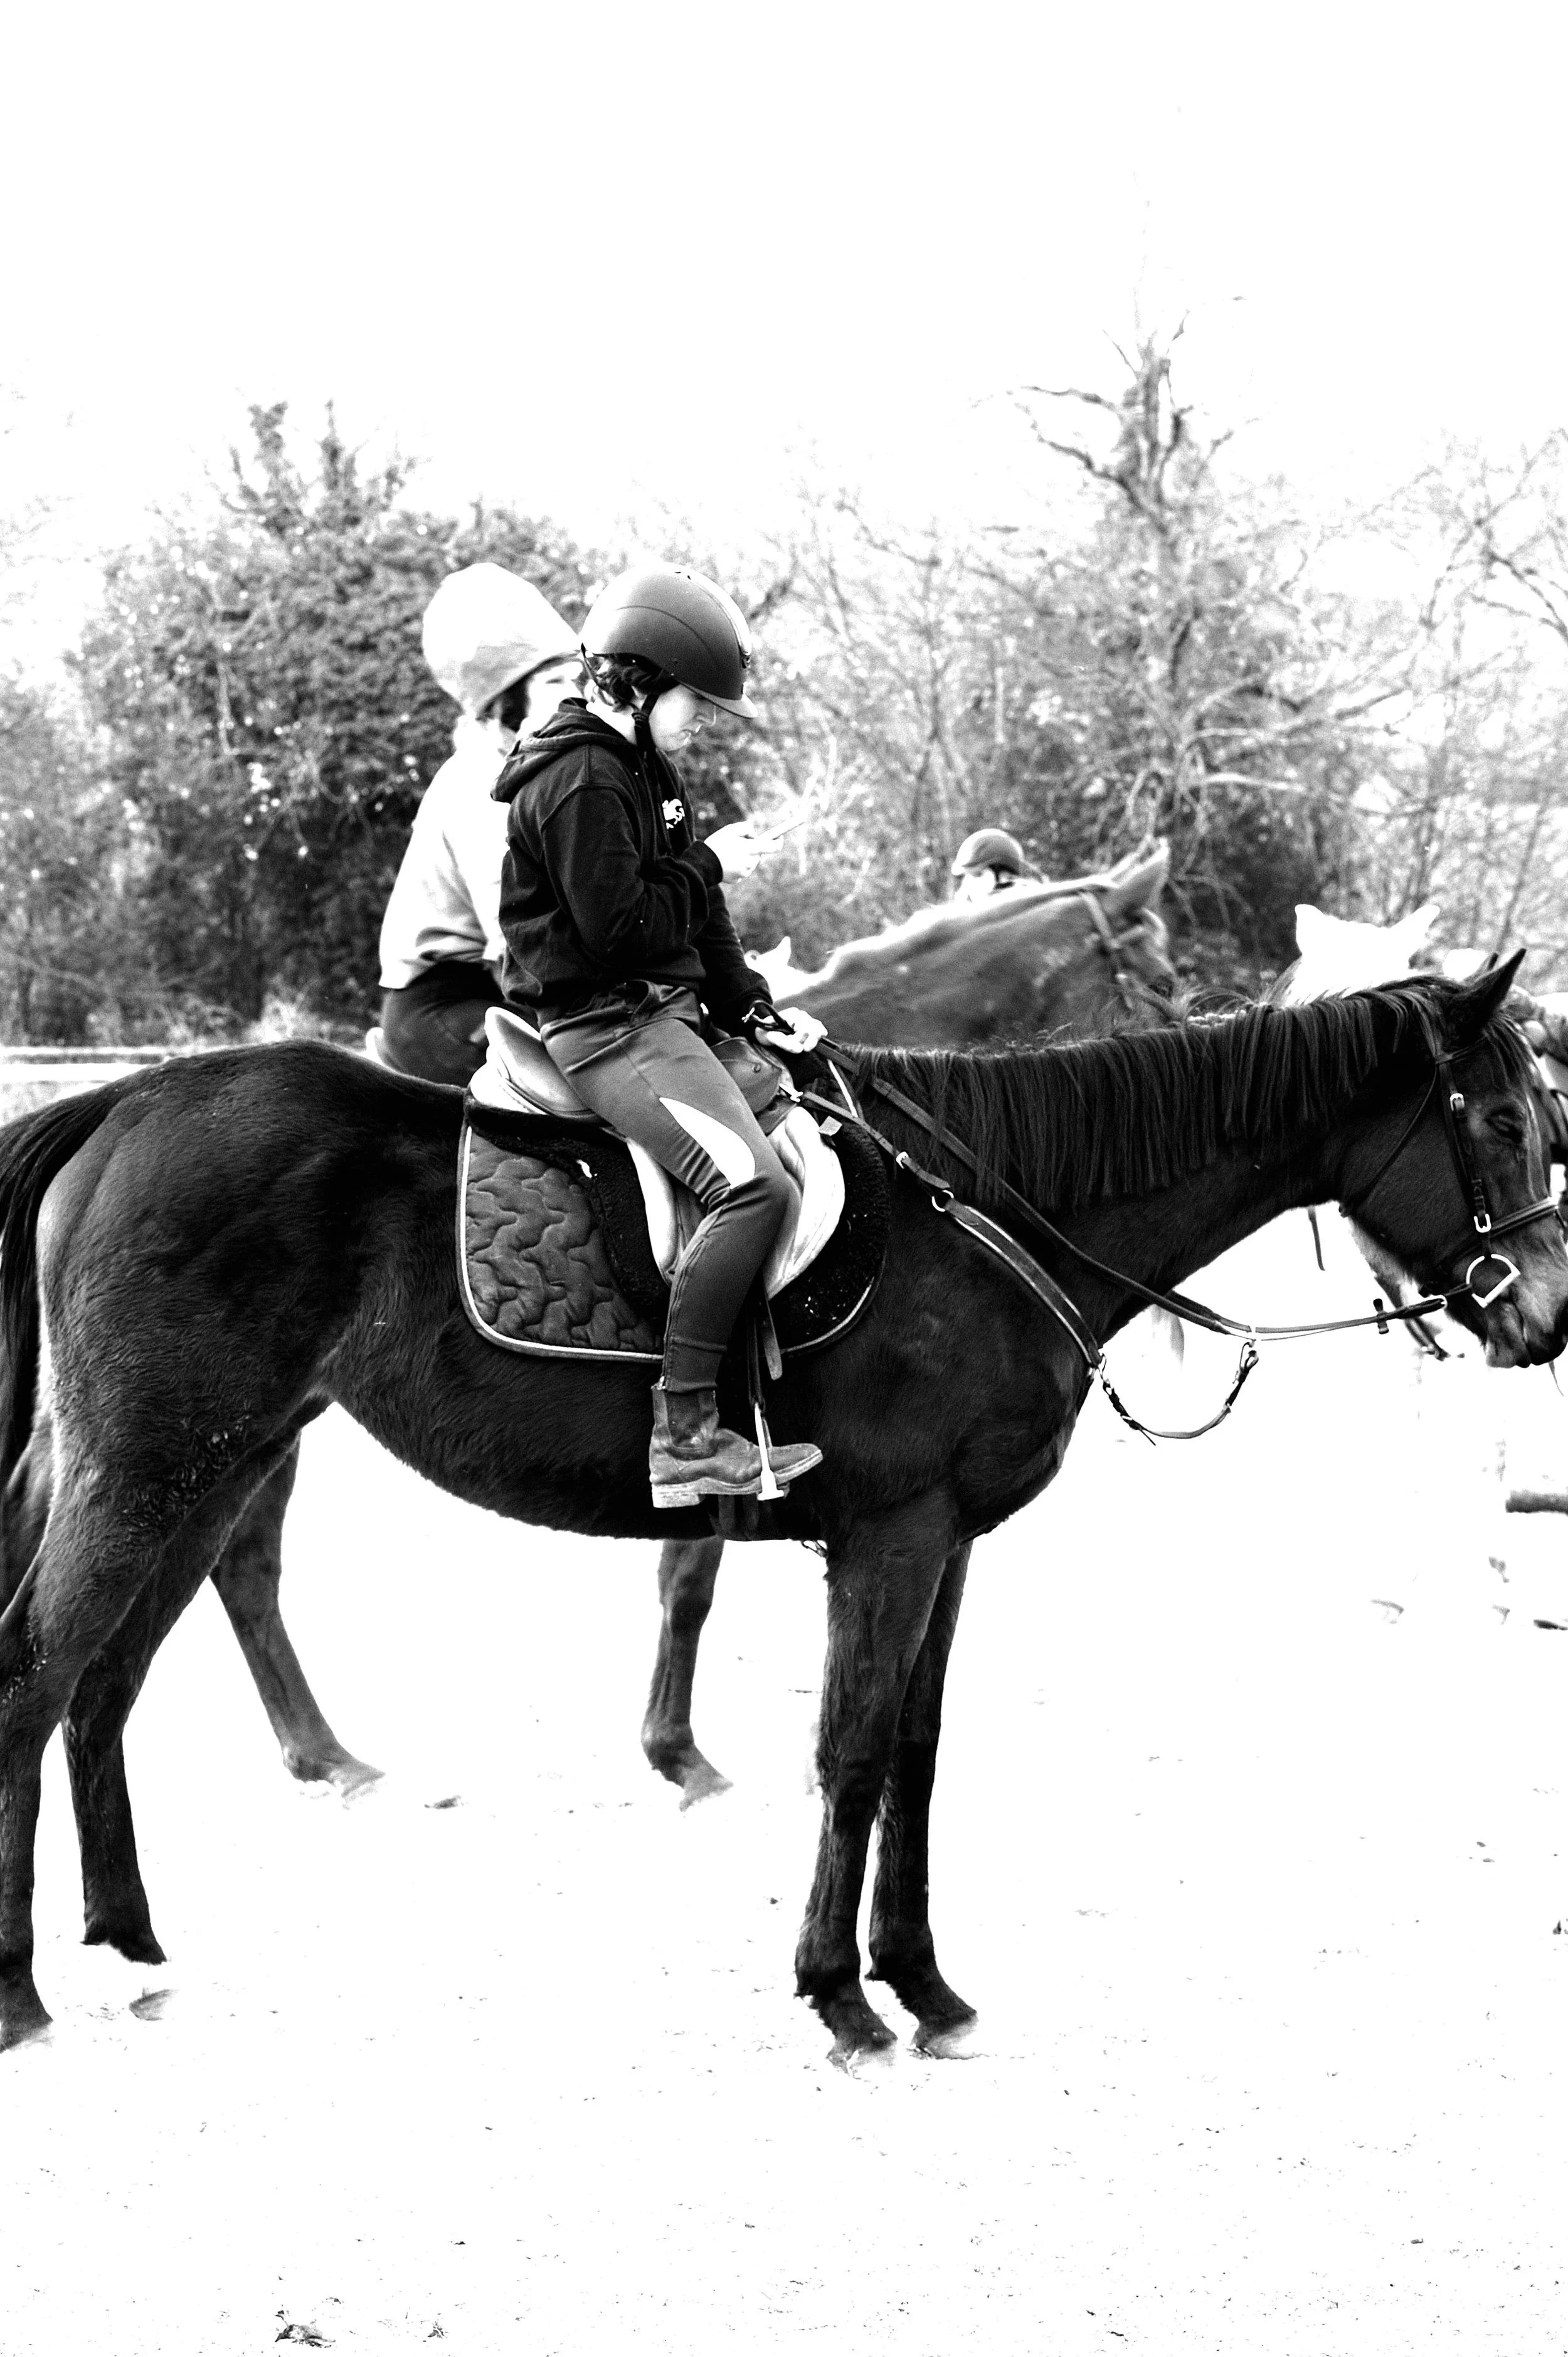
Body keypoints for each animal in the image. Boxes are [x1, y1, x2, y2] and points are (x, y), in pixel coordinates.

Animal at [1, 954, 1562, 2062]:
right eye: (1494, 1119)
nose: (1540, 1317)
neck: (990, 1212)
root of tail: (125, 1103)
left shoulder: (946, 1544)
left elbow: (918, 1752)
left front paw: (924, 1985)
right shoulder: (890, 1536)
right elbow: (853, 1750)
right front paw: (839, 1998)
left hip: (205, 1467)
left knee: (107, 1686)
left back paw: (133, 1942)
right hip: (153, 1469)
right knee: (37, 1680)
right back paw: (24, 1993)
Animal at [198, 843, 1179, 1802]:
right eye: (1163, 980)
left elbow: (687, 1567)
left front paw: (674, 1745)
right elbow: (692, 1576)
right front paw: (681, 1752)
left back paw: (318, 1750)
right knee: (244, 1562)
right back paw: (323, 1753)